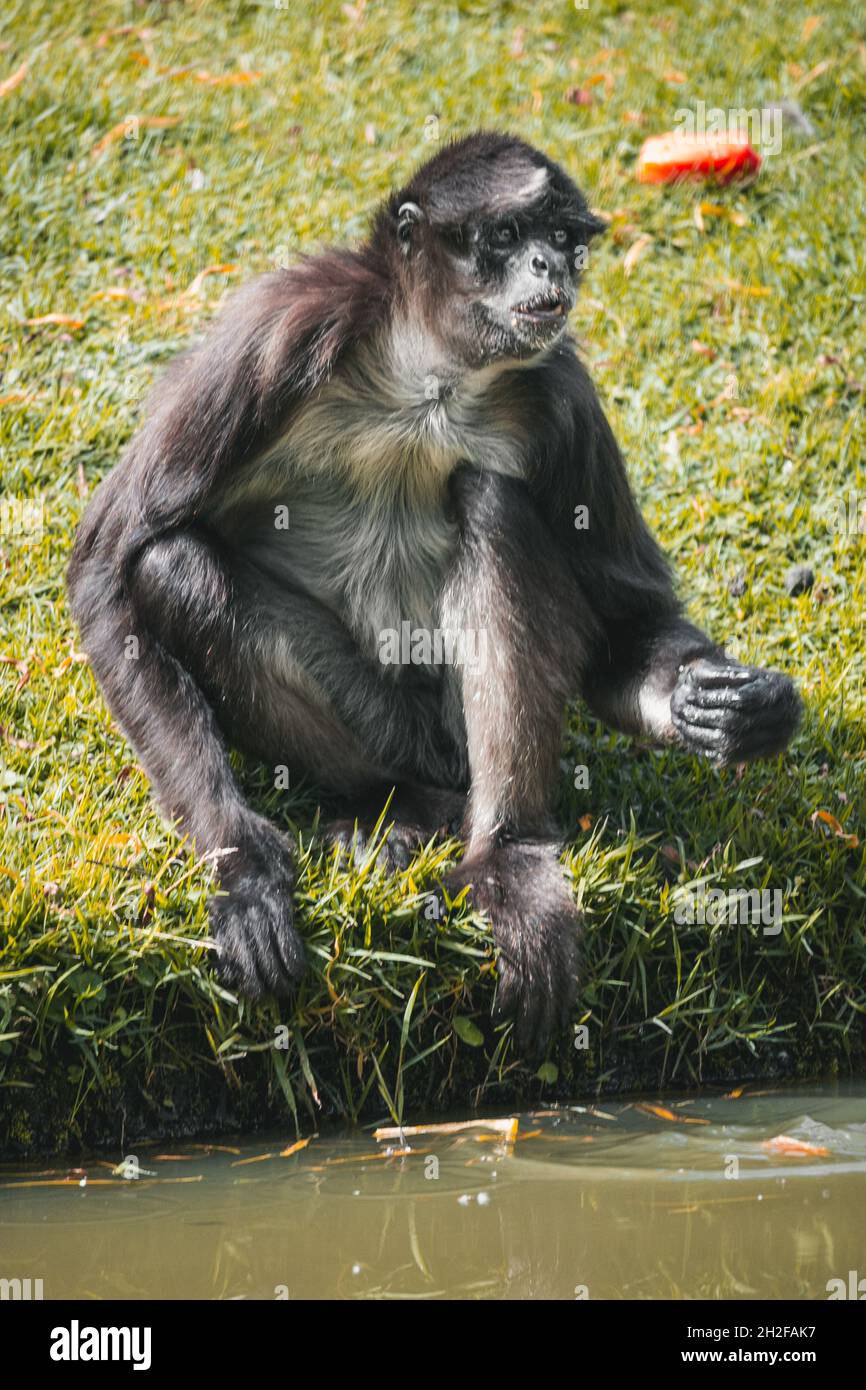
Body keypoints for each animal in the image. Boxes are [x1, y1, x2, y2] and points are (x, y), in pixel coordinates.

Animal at [66, 135, 800, 1056]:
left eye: (564, 239)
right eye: (508, 234)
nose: (549, 265)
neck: (431, 378)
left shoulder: (561, 389)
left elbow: (629, 623)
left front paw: (722, 707)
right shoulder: (282, 327)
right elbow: (103, 567)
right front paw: (242, 869)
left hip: (449, 737)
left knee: (490, 500)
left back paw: (503, 853)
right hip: (392, 727)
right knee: (172, 565)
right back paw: (391, 805)